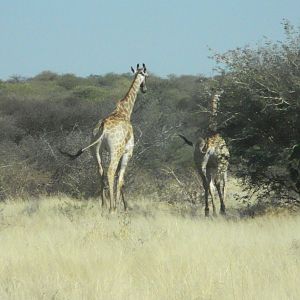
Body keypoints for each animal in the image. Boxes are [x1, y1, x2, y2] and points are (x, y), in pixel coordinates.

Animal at [60, 63, 149, 211]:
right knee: (110, 172)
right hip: (115, 151)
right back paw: (111, 208)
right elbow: (121, 179)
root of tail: (103, 127)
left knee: (100, 172)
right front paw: (122, 207)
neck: (124, 112)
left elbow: (119, 179)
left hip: (95, 150)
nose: (145, 89)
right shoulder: (127, 152)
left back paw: (103, 205)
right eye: (147, 76)